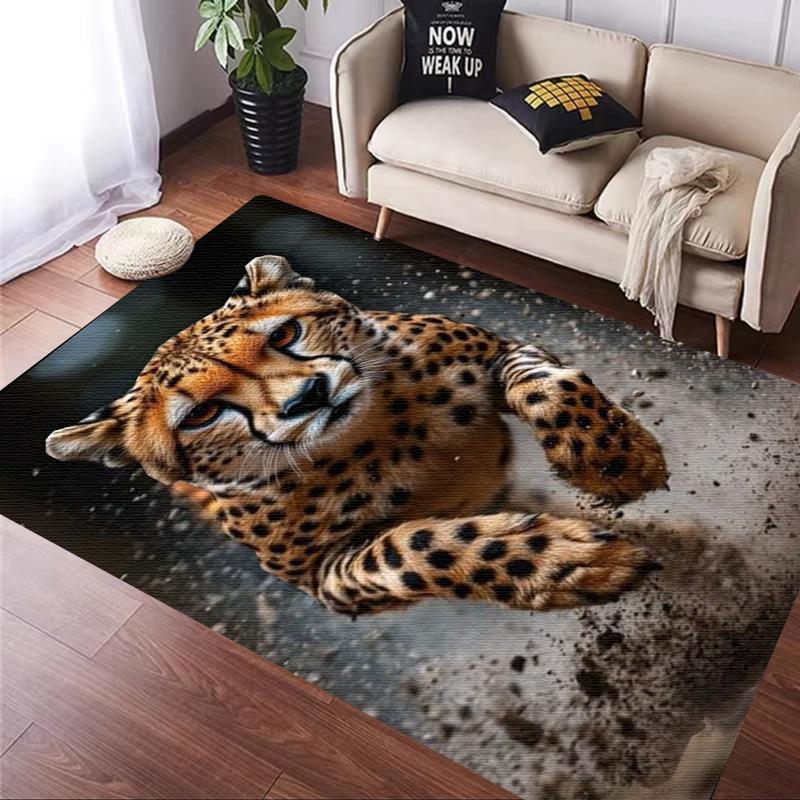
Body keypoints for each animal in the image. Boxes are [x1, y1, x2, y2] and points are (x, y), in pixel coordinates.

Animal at [46, 255, 669, 616]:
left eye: (287, 334)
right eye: (200, 414)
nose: (307, 397)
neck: (379, 434)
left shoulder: (497, 349)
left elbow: (549, 384)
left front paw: (613, 456)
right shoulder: (320, 577)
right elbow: (414, 548)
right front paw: (570, 561)